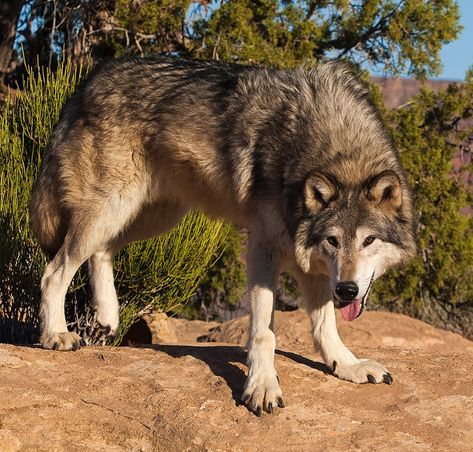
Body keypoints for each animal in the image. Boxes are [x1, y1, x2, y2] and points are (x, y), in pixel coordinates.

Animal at [30, 56, 412, 416]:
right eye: (333, 240)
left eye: (368, 241)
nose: (346, 290)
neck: (336, 151)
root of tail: (88, 82)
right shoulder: (265, 246)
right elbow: (265, 331)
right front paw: (262, 386)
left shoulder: (309, 258)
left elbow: (325, 325)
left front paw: (347, 365)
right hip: (114, 207)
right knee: (54, 272)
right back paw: (55, 335)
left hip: (152, 216)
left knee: (102, 251)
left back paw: (108, 317)